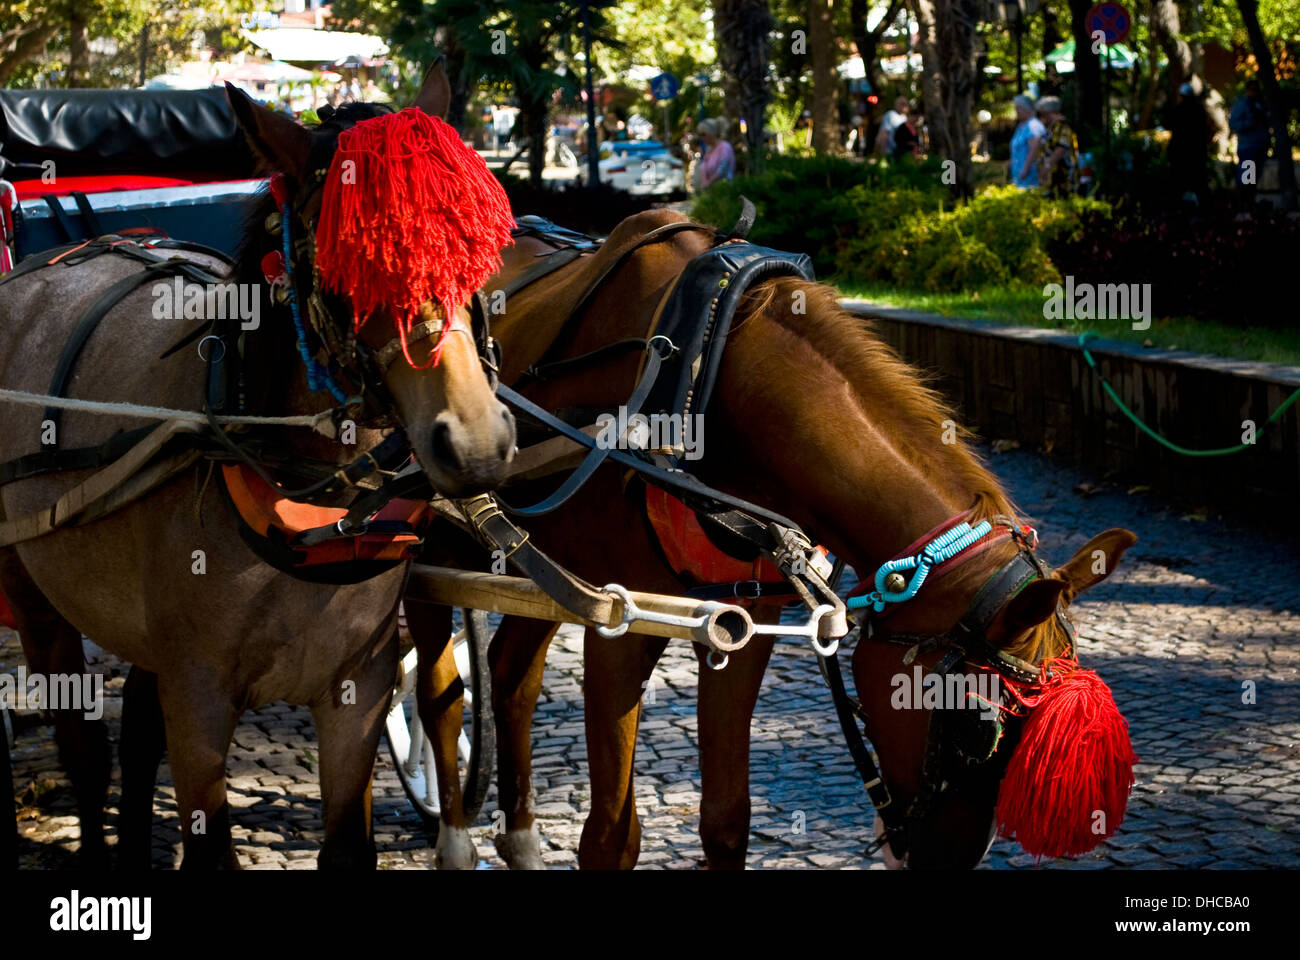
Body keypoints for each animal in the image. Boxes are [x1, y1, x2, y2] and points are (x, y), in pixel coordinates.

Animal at [0, 63, 514, 863]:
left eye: (476, 251)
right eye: (356, 259)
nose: (478, 441)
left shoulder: (356, 689)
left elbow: (348, 844)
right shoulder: (200, 698)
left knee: (136, 728)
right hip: (32, 591)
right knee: (83, 746)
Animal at [410, 209, 1133, 868]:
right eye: (975, 730)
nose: (941, 861)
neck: (704, 372)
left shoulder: (742, 621)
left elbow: (727, 820)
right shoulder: (618, 624)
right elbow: (611, 840)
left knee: (510, 676)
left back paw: (521, 837)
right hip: (421, 543)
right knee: (438, 693)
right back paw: (453, 836)